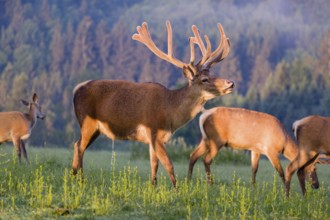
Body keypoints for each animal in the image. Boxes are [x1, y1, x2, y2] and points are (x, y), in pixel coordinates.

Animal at [71, 20, 235, 186]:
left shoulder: (155, 139)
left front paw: (153, 187)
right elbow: (169, 165)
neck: (170, 113)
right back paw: (81, 180)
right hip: (88, 122)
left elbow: (154, 165)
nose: (231, 83)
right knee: (80, 147)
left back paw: (73, 176)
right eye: (204, 79)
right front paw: (177, 189)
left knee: (77, 145)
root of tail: (76, 89)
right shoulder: (154, 131)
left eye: (211, 74)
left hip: (96, 129)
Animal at [187, 107, 318, 189]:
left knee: (193, 155)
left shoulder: (256, 149)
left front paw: (253, 186)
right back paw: (210, 183)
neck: (284, 143)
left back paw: (189, 179)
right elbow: (280, 171)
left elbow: (254, 169)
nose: (316, 185)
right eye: (313, 168)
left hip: (205, 139)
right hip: (216, 140)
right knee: (206, 159)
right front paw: (285, 188)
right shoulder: (270, 150)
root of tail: (204, 115)